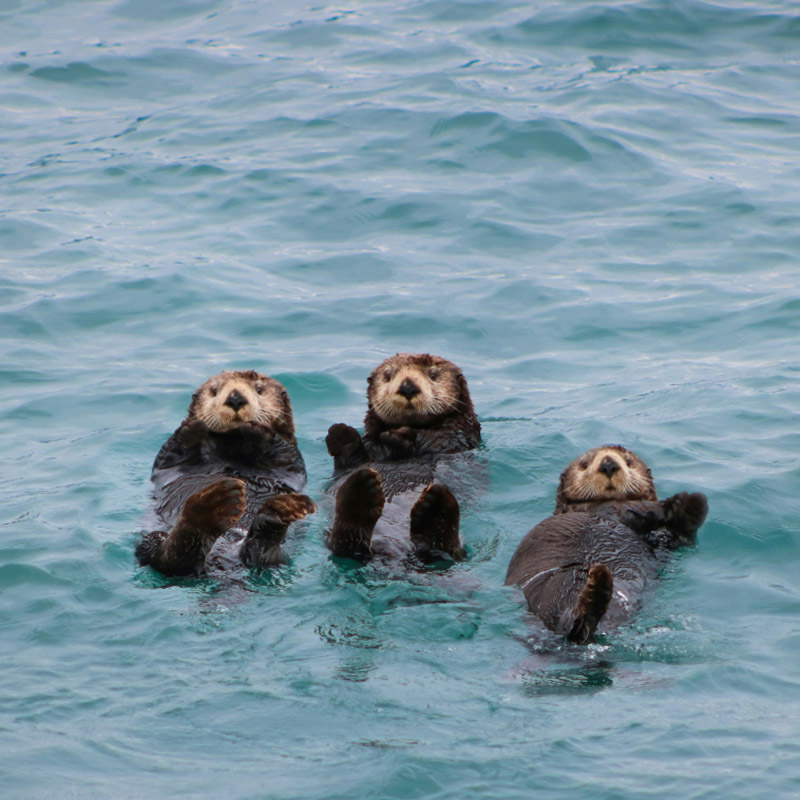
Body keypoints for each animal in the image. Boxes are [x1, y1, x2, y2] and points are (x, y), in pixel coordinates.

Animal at [136, 370, 315, 577]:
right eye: (214, 390)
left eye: (259, 389)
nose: (235, 398)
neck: (232, 445)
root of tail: (224, 558)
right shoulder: (168, 459)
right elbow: (172, 453)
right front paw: (194, 427)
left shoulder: (290, 455)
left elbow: (281, 452)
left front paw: (257, 429)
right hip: (151, 539)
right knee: (168, 559)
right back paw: (213, 505)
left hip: (281, 557)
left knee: (260, 556)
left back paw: (276, 513)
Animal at [324, 353, 482, 564]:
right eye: (388, 375)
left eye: (433, 374)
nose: (408, 386)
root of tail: (394, 550)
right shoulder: (367, 453)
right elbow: (352, 459)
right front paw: (340, 433)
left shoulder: (455, 438)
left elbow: (434, 438)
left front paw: (398, 435)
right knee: (345, 544)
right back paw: (361, 492)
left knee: (449, 551)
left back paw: (435, 507)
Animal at [505, 445, 708, 644]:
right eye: (585, 464)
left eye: (628, 461)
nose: (608, 464)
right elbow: (635, 509)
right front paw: (679, 504)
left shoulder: (663, 542)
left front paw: (688, 506)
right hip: (555, 587)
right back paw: (595, 590)